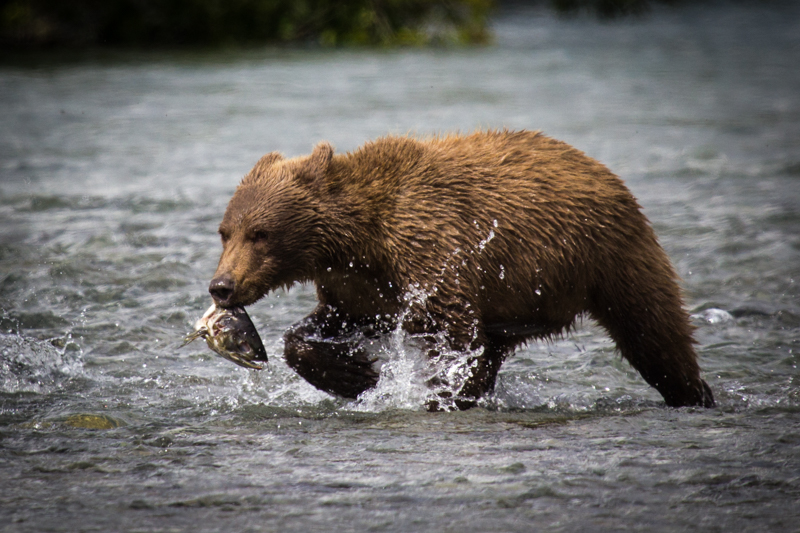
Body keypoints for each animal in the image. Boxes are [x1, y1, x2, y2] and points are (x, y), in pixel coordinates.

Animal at [209, 130, 716, 412]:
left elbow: (453, 335)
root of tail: (604, 171)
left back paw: (695, 394)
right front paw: (354, 374)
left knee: (655, 333)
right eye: (224, 231)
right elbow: (327, 324)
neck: (359, 238)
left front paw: (436, 395)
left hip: (611, 255)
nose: (221, 286)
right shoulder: (358, 284)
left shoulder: (431, 250)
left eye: (260, 233)